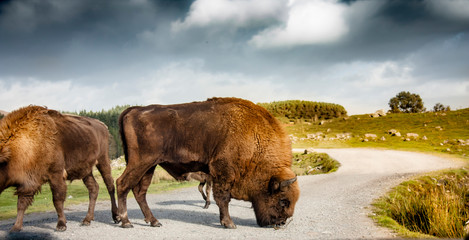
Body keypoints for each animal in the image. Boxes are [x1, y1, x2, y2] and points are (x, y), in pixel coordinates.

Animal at [117, 97, 300, 229]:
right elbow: (223, 198)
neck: (254, 140)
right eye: (283, 200)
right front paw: (229, 223)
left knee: (140, 191)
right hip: (140, 162)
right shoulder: (222, 171)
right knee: (122, 184)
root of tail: (134, 109)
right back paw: (126, 222)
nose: (281, 222)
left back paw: (154, 221)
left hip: (150, 166)